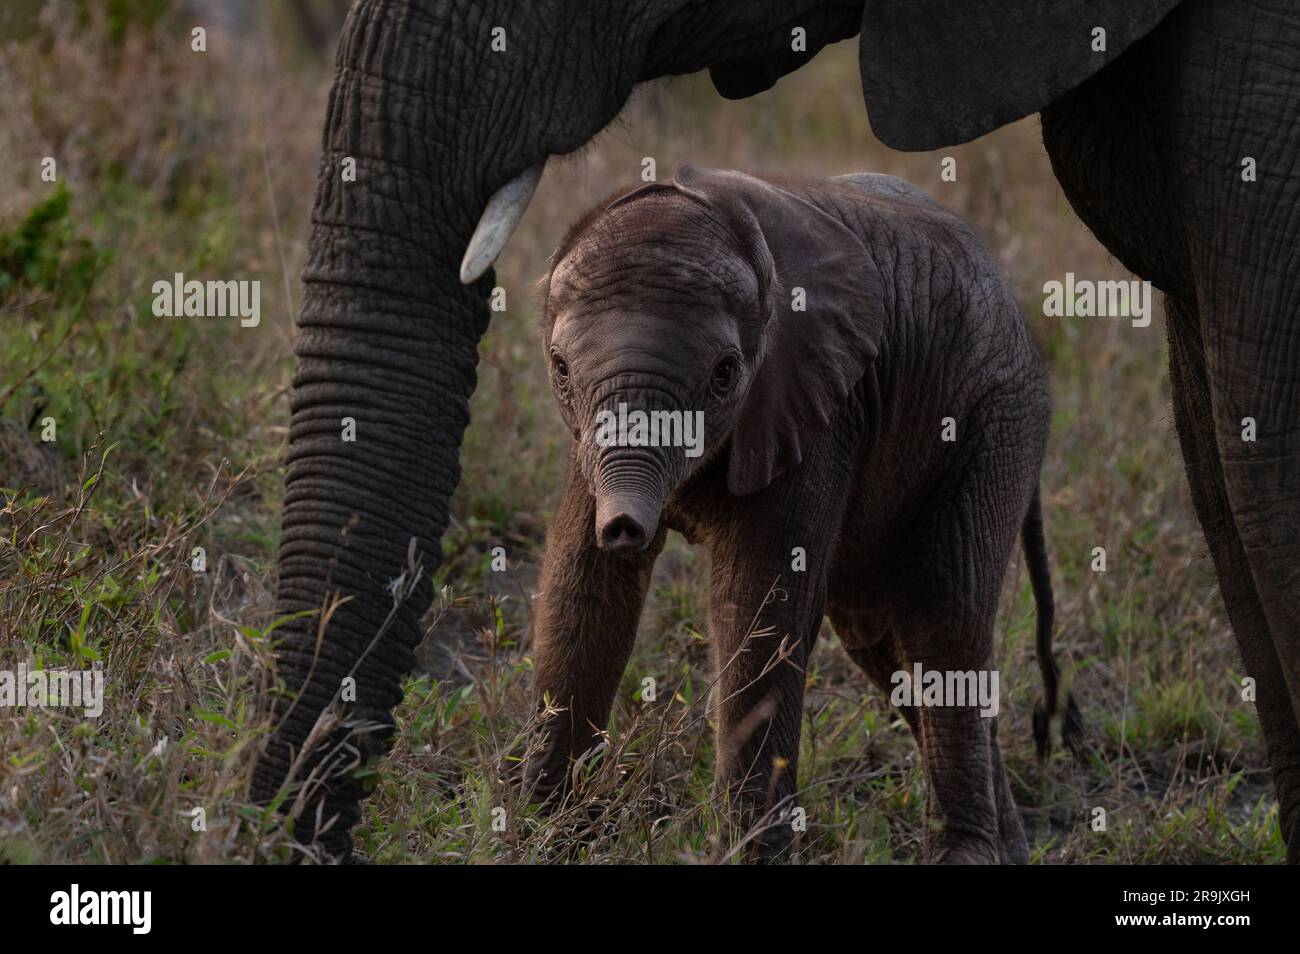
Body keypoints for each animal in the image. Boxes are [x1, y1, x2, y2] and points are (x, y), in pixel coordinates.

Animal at [522, 166, 1081, 868]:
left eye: (725, 374)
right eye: (561, 370)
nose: (625, 527)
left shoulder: (818, 408)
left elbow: (759, 607)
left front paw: (746, 854)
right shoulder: (584, 446)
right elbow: (581, 593)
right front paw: (541, 834)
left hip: (996, 422)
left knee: (943, 614)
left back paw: (970, 853)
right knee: (882, 639)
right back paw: (1011, 848)